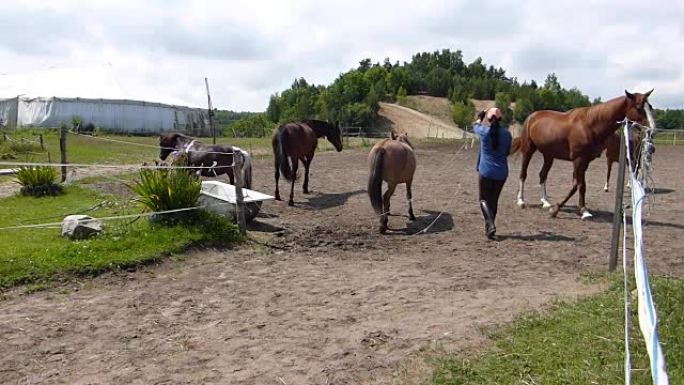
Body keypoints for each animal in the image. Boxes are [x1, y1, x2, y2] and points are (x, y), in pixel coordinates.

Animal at [512, 88, 652, 218]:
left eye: (650, 107)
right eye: (639, 107)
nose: (651, 129)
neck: (590, 125)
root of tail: (532, 117)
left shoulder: (585, 161)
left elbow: (577, 185)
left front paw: (559, 208)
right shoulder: (578, 160)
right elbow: (581, 185)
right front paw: (582, 211)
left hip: (549, 156)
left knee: (542, 175)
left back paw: (545, 202)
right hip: (528, 150)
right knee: (523, 174)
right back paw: (521, 201)